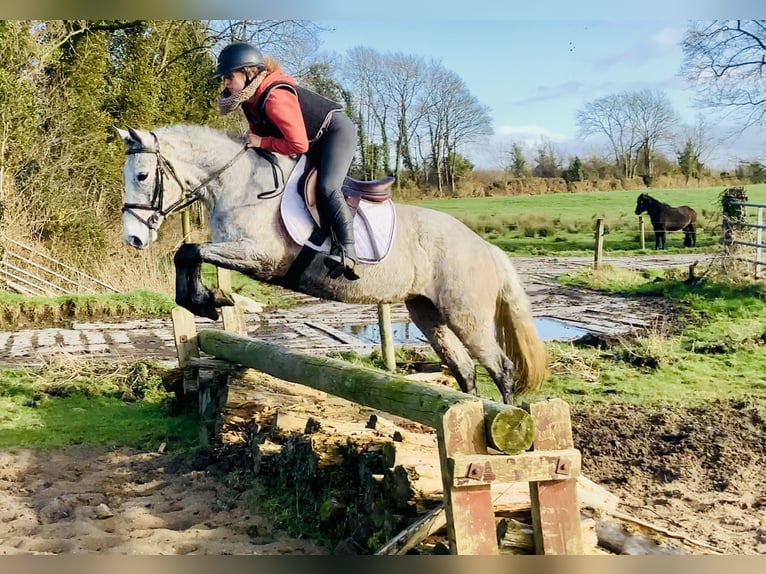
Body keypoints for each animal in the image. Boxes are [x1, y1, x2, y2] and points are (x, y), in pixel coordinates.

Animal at [117, 125, 548, 404]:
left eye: (143, 175)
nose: (133, 239)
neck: (239, 184)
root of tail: (487, 248)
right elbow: (187, 253)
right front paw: (207, 301)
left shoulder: (260, 255)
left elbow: (189, 251)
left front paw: (209, 300)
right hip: (427, 313)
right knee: (465, 370)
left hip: (465, 314)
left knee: (501, 368)